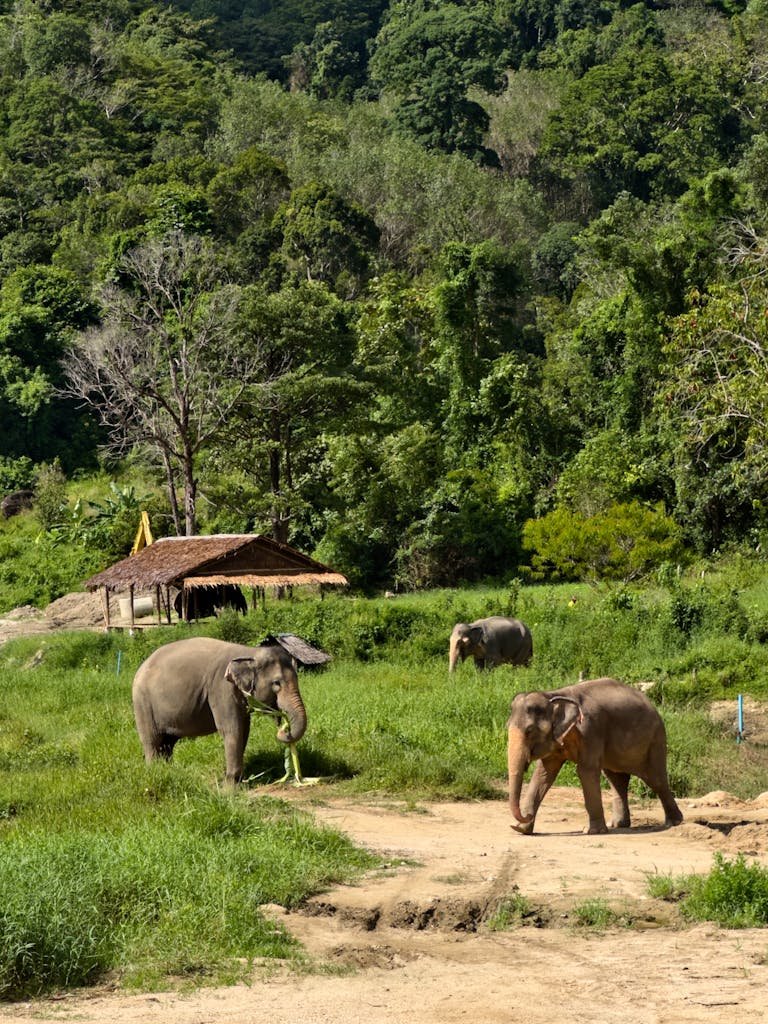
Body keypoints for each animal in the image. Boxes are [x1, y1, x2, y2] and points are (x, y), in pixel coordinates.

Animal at [132, 637, 307, 783]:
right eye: (277, 683)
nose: (284, 730)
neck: (250, 652)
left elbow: (244, 731)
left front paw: (238, 782)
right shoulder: (221, 689)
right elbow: (231, 730)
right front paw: (229, 790)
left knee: (167, 743)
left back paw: (168, 772)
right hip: (142, 704)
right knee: (152, 741)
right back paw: (155, 773)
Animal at [507, 678, 683, 835]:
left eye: (529, 731)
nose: (526, 815)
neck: (554, 695)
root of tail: (652, 705)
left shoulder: (591, 729)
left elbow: (585, 771)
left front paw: (592, 831)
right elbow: (543, 774)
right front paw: (520, 829)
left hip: (655, 740)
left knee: (656, 779)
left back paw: (674, 822)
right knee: (616, 779)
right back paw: (618, 824)